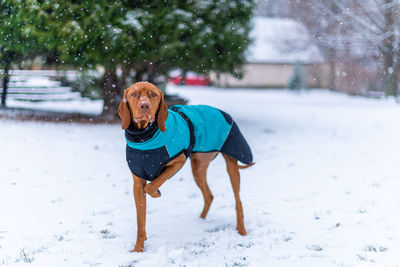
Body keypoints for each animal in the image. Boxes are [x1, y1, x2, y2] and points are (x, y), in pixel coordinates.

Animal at [117, 81, 253, 253]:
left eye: (153, 94)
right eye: (134, 94)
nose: (144, 106)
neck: (145, 138)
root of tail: (221, 111)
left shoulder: (178, 160)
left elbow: (151, 185)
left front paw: (156, 192)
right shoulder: (137, 183)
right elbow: (140, 220)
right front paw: (138, 250)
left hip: (231, 163)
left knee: (238, 201)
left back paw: (241, 230)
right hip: (198, 167)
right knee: (209, 195)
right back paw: (200, 222)